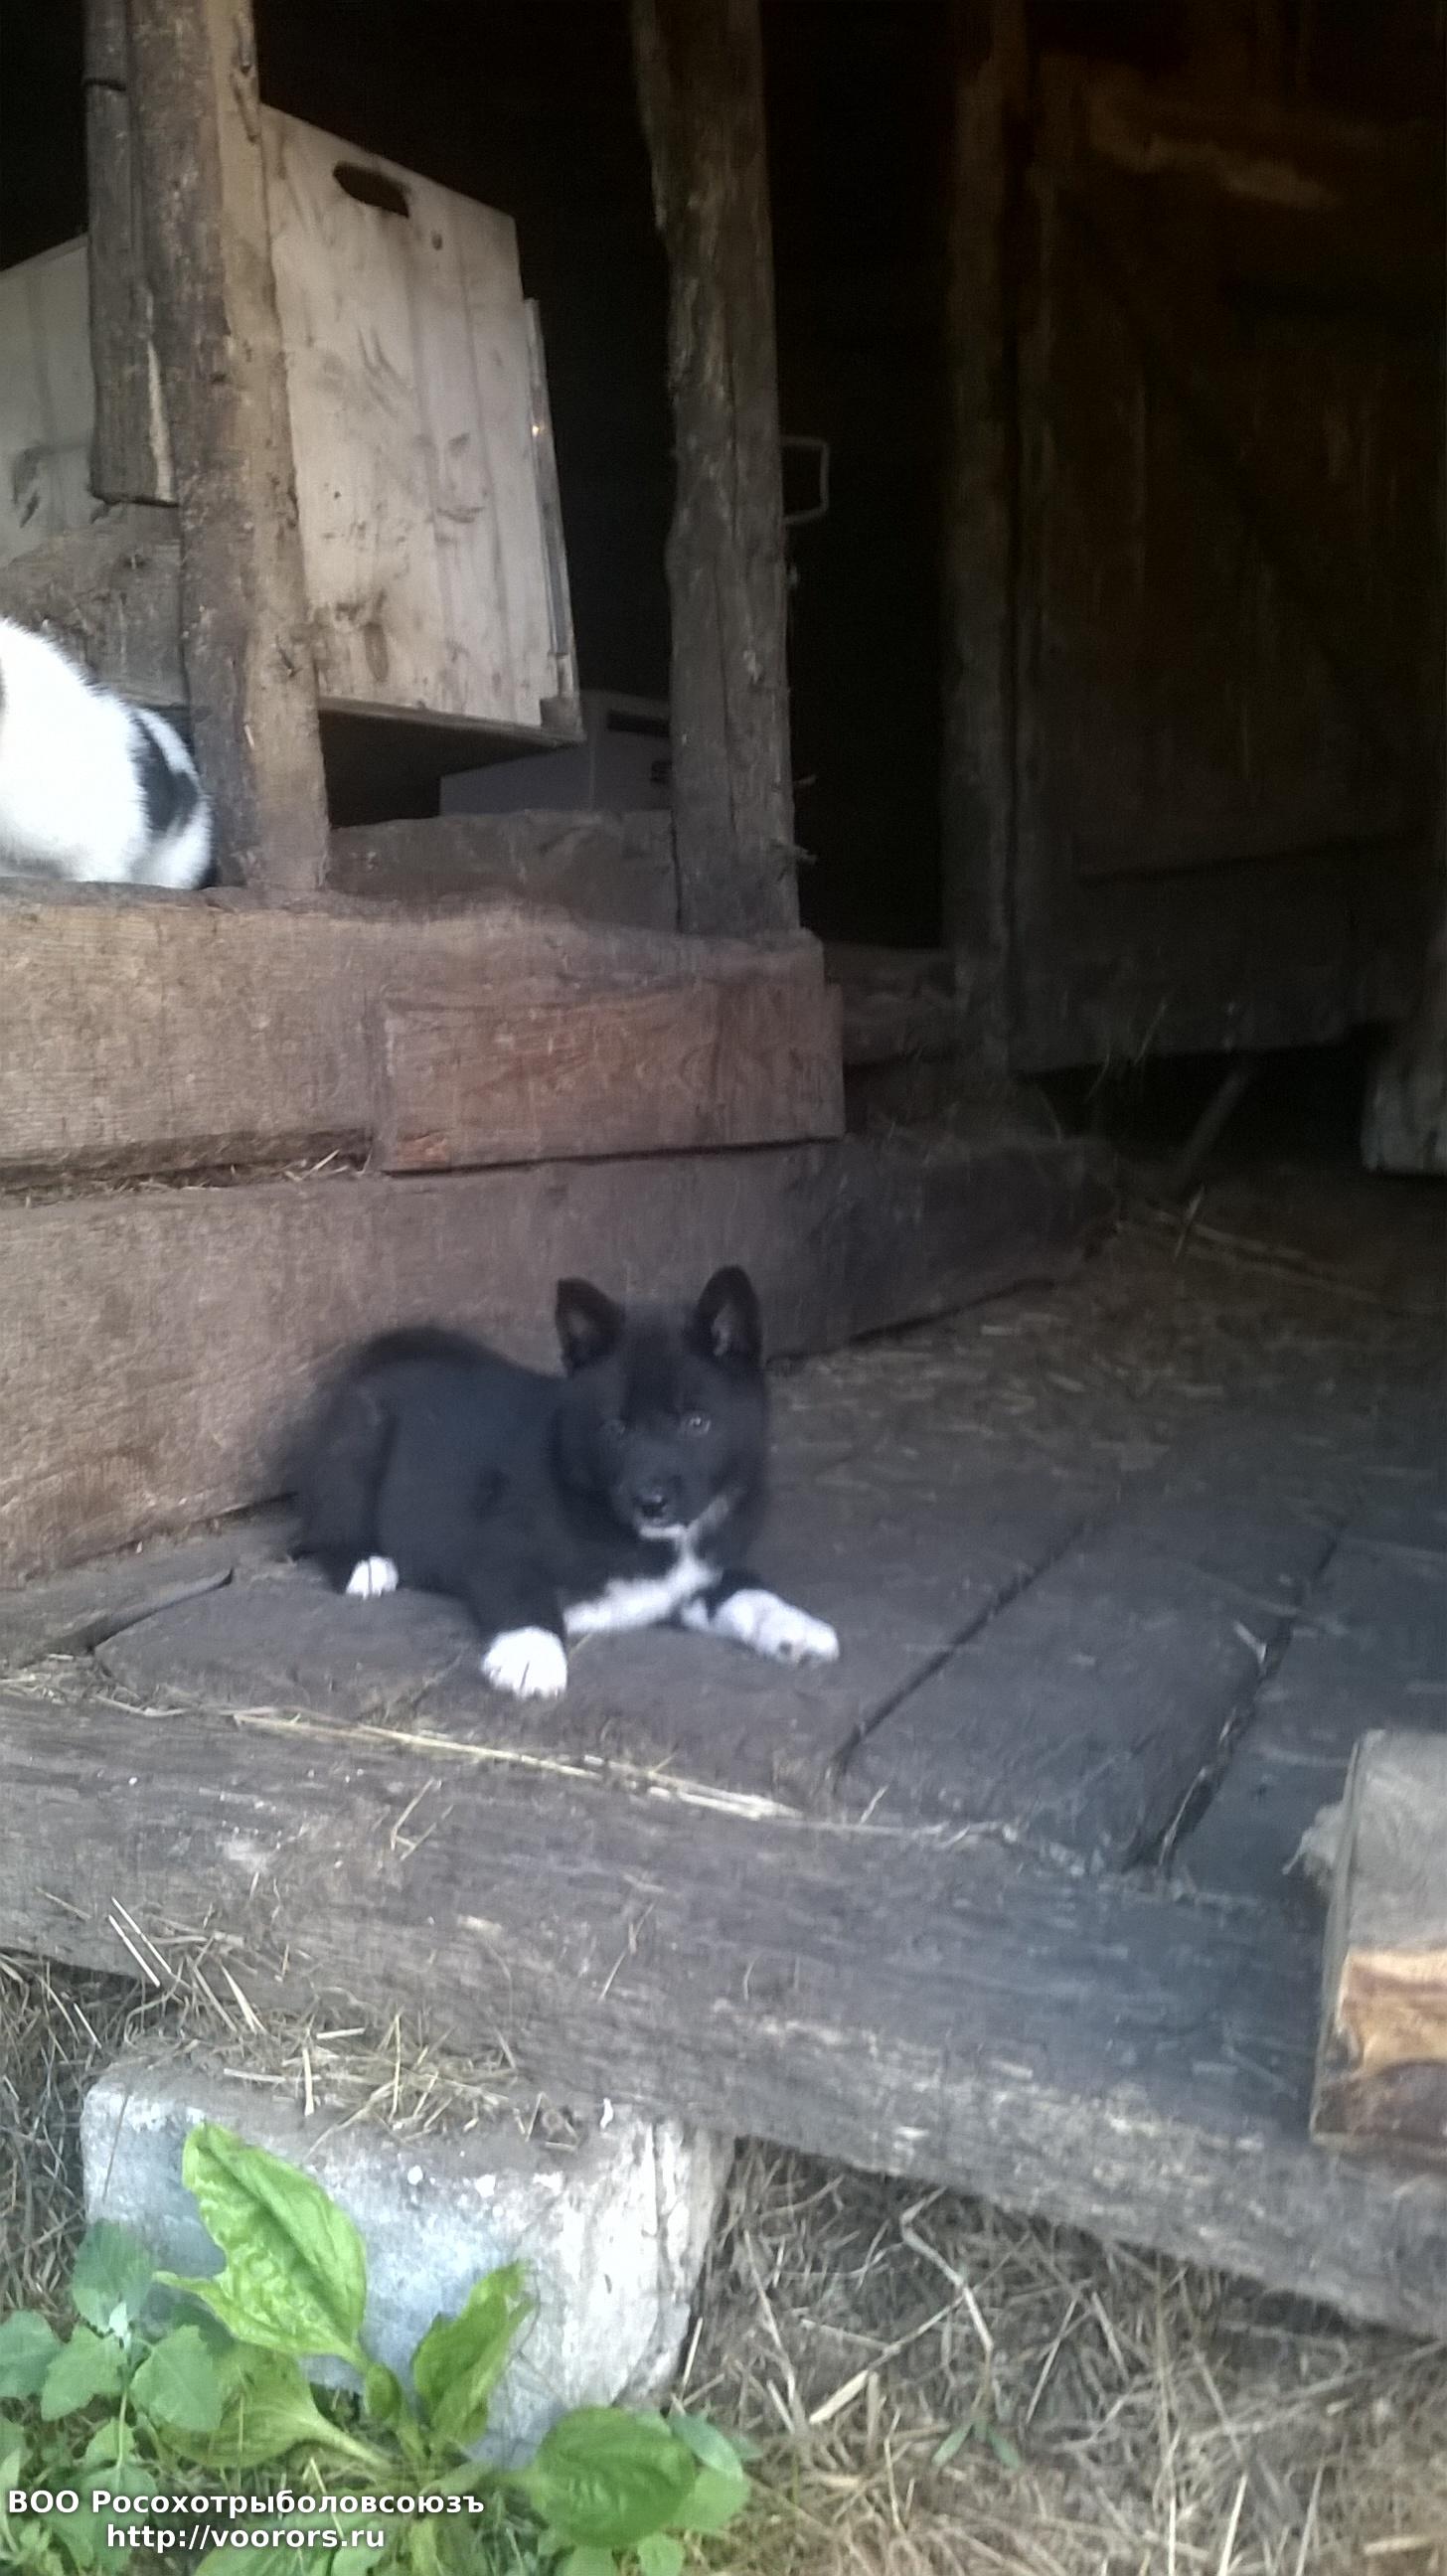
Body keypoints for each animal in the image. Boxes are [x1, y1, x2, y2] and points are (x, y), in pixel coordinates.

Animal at [294, 1267, 839, 1701]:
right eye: (616, 1429)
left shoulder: (698, 1576)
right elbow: (525, 1596)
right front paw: (530, 1655)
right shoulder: (497, 1546)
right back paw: (365, 1564)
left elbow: (746, 1590)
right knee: (326, 1524)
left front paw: (797, 1627)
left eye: (697, 1423)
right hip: (360, 1433)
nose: (652, 1503)